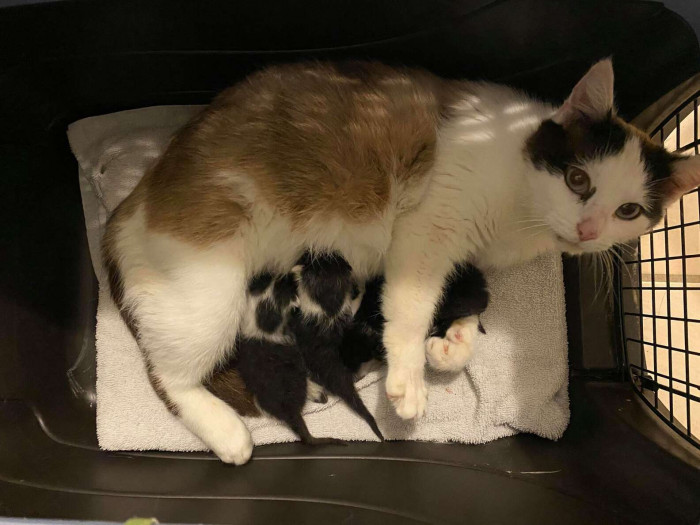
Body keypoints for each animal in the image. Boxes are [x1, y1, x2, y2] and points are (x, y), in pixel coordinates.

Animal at [102, 58, 700, 462]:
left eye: (628, 210)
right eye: (578, 180)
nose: (587, 230)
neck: (521, 210)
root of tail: (139, 191)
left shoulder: (469, 259)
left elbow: (462, 302)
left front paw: (452, 346)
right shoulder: (430, 226)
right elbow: (412, 304)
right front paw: (409, 374)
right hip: (209, 285)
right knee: (166, 375)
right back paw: (226, 431)